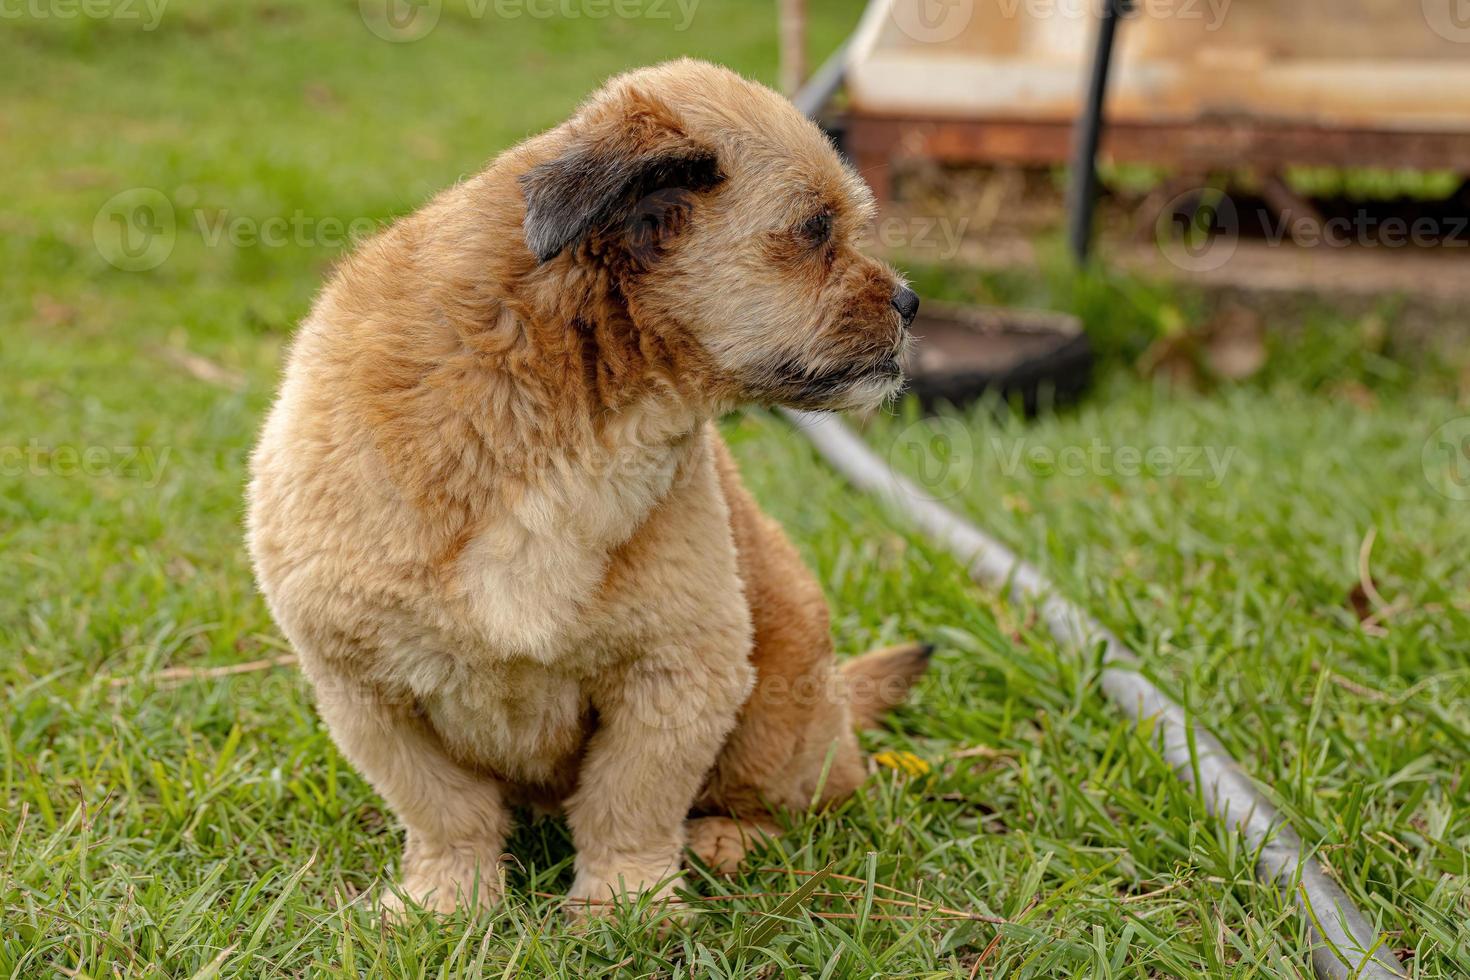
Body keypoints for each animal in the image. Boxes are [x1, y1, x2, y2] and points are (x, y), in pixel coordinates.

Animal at [245, 59, 923, 922]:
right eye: (814, 232)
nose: (910, 301)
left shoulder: (677, 673)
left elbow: (628, 803)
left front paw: (627, 905)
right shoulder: (367, 693)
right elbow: (446, 811)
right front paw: (446, 900)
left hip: (778, 712)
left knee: (802, 796)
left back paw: (727, 838)